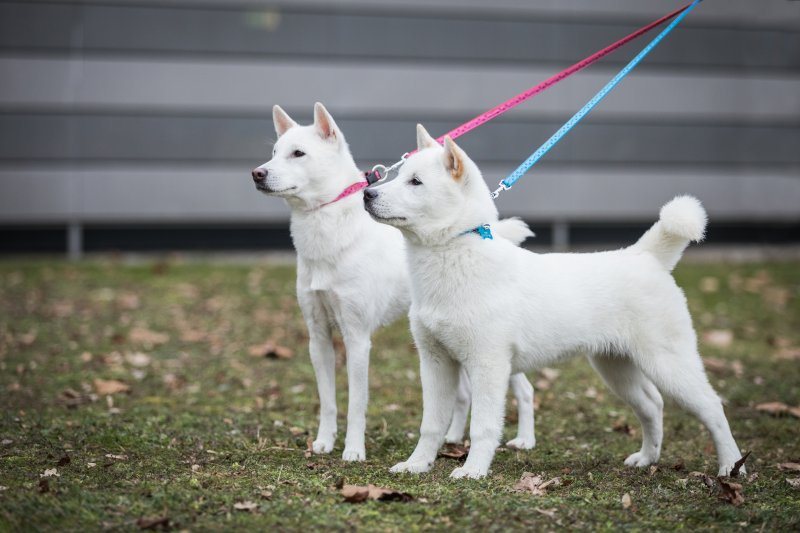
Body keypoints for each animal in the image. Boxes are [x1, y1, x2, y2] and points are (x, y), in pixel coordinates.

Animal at [250, 102, 536, 460]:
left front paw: (353, 451)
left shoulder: (357, 338)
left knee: (525, 390)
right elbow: (328, 401)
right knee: (464, 394)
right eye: (274, 152)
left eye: (298, 153)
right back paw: (453, 437)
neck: (329, 235)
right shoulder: (318, 337)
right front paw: (324, 442)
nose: (257, 173)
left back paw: (524, 439)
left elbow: (356, 405)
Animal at [366, 125, 748, 478]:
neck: (455, 256)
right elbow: (431, 424)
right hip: (616, 367)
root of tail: (645, 255)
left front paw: (473, 471)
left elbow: (483, 426)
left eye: (415, 182)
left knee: (712, 407)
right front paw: (417, 465)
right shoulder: (435, 363)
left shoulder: (488, 365)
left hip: (669, 364)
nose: (367, 192)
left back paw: (732, 467)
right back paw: (647, 458)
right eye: (400, 174)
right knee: (652, 404)